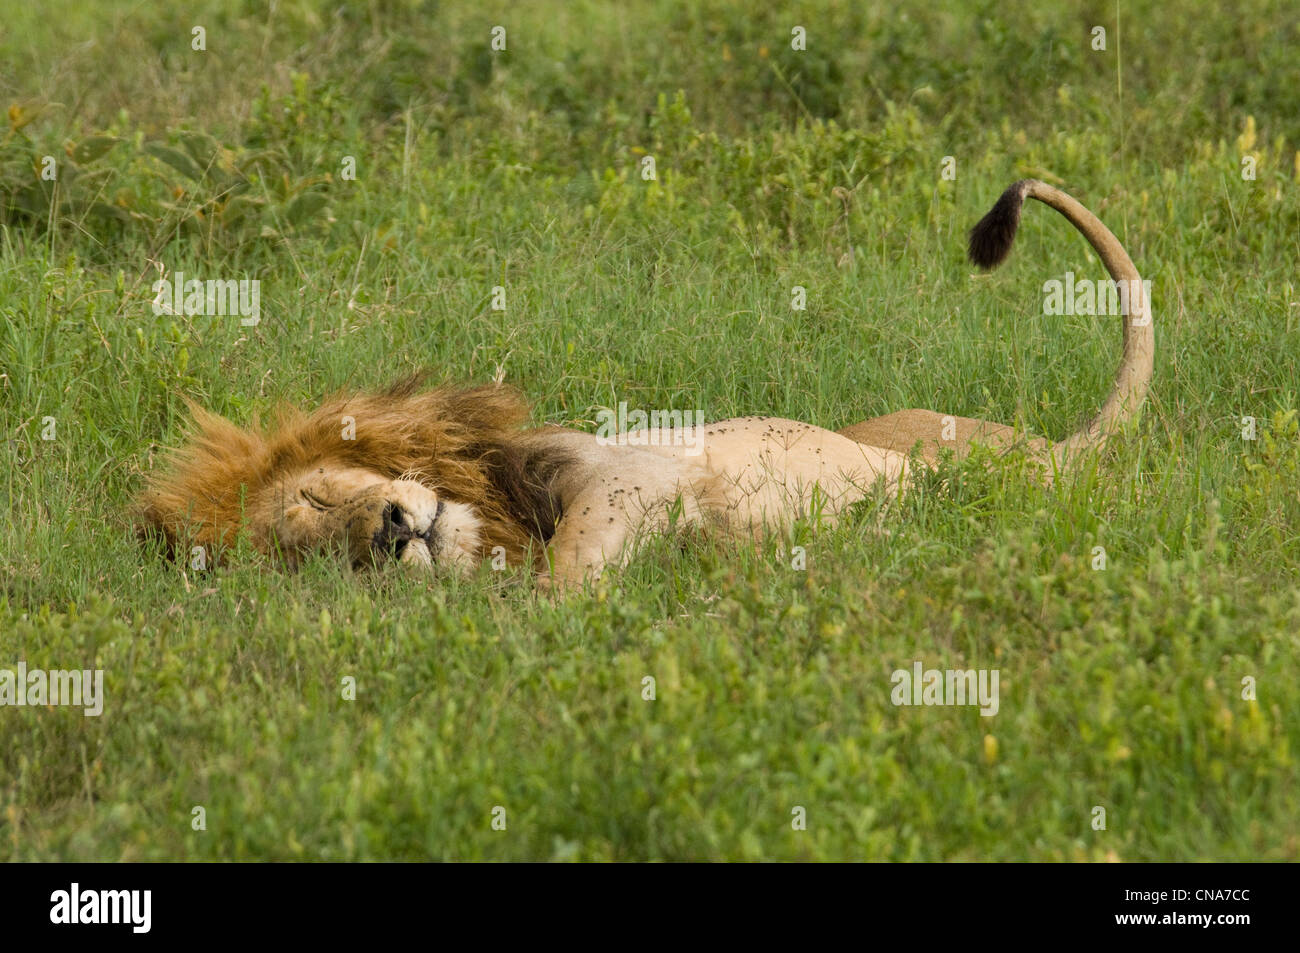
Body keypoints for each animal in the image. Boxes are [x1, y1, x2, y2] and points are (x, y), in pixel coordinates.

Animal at [139, 180, 1159, 587]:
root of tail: (1050, 458)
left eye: (318, 497)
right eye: (327, 559)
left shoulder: (626, 468)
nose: (390, 534)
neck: (491, 516)